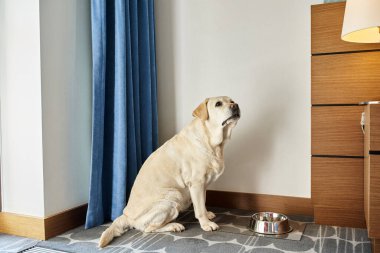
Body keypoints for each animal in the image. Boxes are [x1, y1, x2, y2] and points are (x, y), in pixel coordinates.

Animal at [99, 96, 239, 247]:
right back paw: (174, 226)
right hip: (173, 196)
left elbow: (203, 203)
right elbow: (200, 208)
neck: (210, 140)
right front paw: (206, 224)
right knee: (149, 228)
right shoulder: (196, 183)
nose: (236, 105)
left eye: (232, 100)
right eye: (218, 104)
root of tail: (126, 215)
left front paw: (207, 215)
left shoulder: (203, 185)